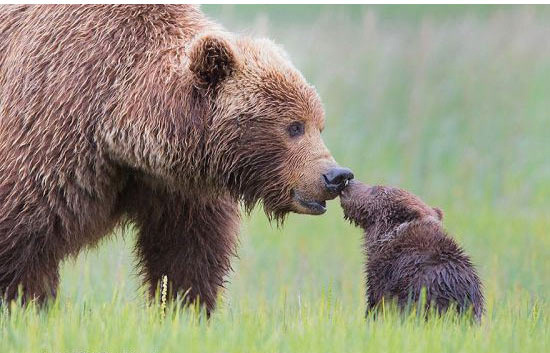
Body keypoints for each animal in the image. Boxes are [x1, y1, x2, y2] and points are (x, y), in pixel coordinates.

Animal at [0, 4, 354, 310]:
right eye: (294, 126)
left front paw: (185, 309)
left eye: (319, 124)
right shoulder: (53, 134)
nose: (336, 175)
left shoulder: (177, 186)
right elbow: (23, 237)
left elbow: (187, 253)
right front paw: (25, 304)